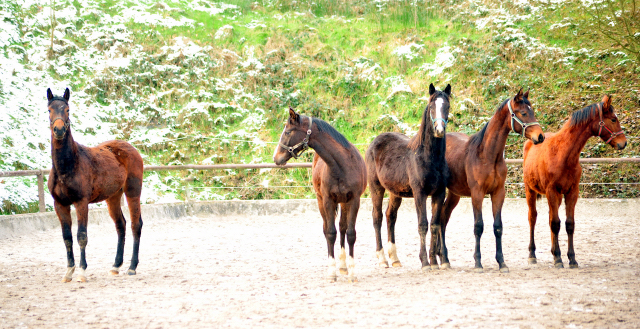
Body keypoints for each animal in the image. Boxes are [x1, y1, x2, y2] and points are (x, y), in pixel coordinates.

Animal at [46, 88, 144, 282]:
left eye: (67, 109)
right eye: (49, 110)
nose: (59, 130)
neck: (69, 165)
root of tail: (131, 148)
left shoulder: (81, 202)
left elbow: (81, 236)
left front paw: (82, 272)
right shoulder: (60, 204)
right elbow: (67, 237)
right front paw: (68, 271)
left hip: (132, 191)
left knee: (135, 225)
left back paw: (132, 267)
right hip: (113, 196)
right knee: (120, 225)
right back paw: (115, 266)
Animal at [272, 108, 368, 282]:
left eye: (288, 132)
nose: (276, 158)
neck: (342, 165)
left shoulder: (354, 200)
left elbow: (350, 233)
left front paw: (352, 272)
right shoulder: (328, 201)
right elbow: (330, 233)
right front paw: (331, 272)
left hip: (344, 202)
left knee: (342, 228)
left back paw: (343, 266)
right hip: (320, 201)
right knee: (327, 229)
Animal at [368, 83, 452, 270]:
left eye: (447, 107)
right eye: (431, 107)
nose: (439, 130)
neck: (429, 158)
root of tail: (374, 142)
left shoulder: (439, 193)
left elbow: (435, 225)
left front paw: (436, 262)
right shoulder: (419, 193)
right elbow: (423, 225)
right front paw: (425, 262)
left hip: (395, 192)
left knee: (390, 216)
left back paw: (395, 259)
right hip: (376, 187)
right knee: (377, 217)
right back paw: (382, 259)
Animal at [440, 88, 544, 272]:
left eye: (533, 111)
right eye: (523, 113)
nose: (540, 136)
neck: (487, 154)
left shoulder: (498, 193)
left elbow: (498, 227)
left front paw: (501, 262)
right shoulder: (477, 194)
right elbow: (478, 226)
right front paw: (478, 263)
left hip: (454, 194)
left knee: (443, 218)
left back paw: (444, 258)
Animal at [524, 93, 624, 268]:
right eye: (613, 119)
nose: (623, 142)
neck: (562, 154)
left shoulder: (572, 192)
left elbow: (568, 224)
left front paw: (571, 259)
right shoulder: (552, 191)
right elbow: (555, 223)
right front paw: (558, 259)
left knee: (550, 218)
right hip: (530, 191)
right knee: (533, 218)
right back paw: (532, 255)